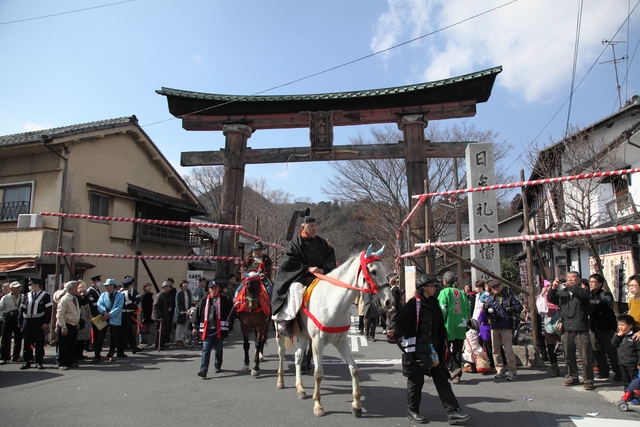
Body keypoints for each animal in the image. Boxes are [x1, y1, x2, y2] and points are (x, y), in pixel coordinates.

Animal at [274, 247, 392, 418]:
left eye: (385, 271)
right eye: (374, 271)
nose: (389, 302)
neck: (333, 304)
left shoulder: (341, 341)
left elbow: (354, 369)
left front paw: (357, 405)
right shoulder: (317, 342)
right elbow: (318, 373)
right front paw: (318, 405)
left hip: (303, 337)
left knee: (298, 357)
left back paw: (300, 388)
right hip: (280, 330)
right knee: (281, 353)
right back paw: (281, 381)